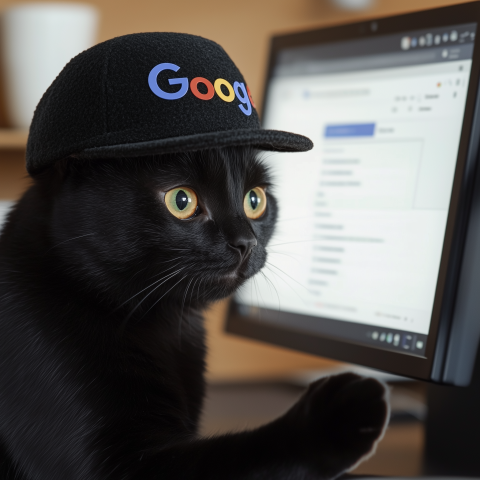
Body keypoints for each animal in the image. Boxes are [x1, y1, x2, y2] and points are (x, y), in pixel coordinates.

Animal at [0, 147, 388, 480]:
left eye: (255, 199)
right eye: (181, 201)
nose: (246, 242)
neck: (168, 327)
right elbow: (239, 456)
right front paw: (337, 414)